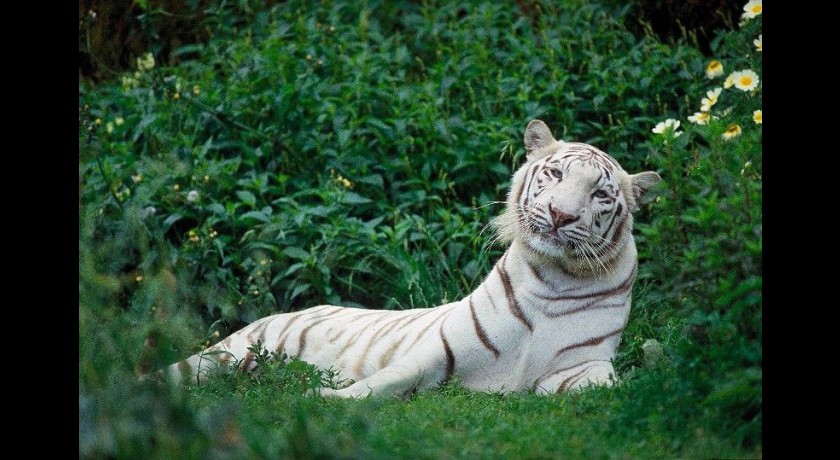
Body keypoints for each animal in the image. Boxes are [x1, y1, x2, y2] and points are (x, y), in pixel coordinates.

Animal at [156, 120, 656, 398]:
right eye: (554, 174)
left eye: (600, 194)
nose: (560, 214)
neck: (557, 278)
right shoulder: (436, 351)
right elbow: (382, 383)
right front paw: (323, 397)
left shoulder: (581, 368)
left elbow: (614, 389)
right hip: (219, 355)